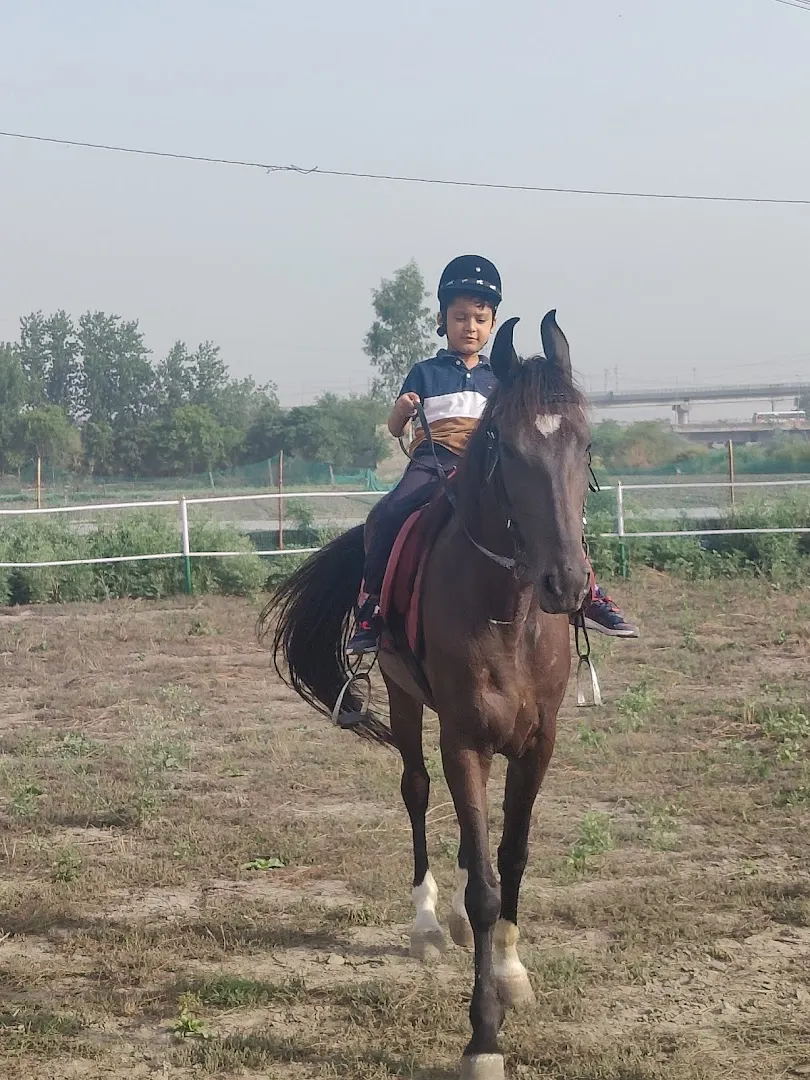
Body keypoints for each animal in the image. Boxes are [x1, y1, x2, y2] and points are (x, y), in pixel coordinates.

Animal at [261, 312, 592, 1080]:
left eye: (584, 440)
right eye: (507, 446)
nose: (567, 582)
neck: (507, 611)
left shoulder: (538, 744)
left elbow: (511, 858)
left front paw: (510, 971)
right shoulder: (463, 740)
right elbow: (482, 884)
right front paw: (483, 1040)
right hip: (408, 702)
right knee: (415, 794)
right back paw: (426, 927)